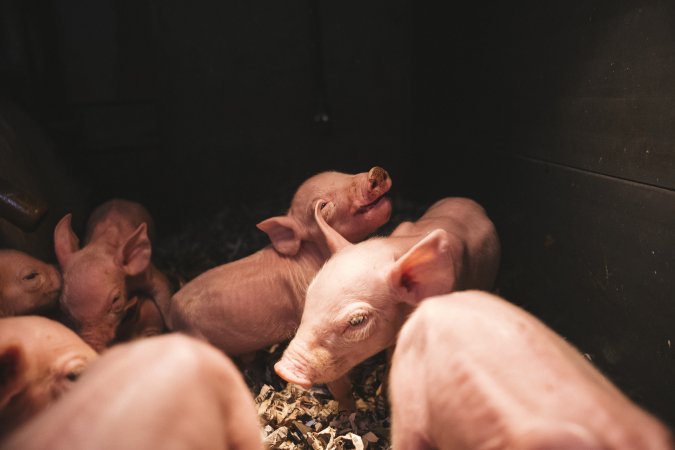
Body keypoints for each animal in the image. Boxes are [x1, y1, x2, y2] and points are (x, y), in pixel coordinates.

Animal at [54, 198, 173, 352]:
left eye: (116, 300)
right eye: (63, 308)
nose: (93, 346)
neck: (102, 244)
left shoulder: (145, 274)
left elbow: (164, 290)